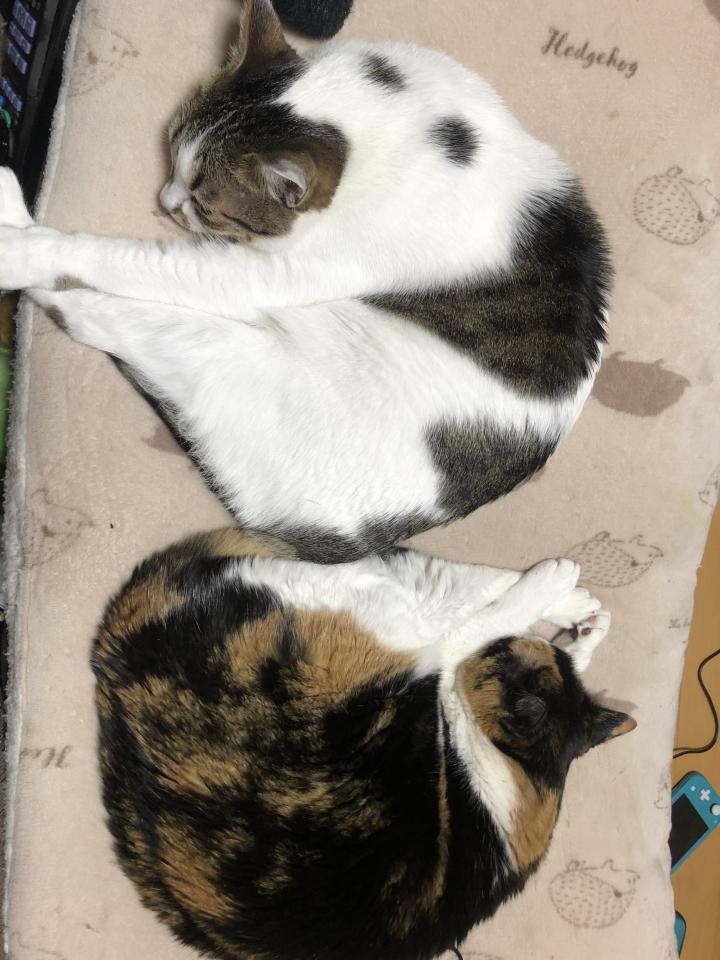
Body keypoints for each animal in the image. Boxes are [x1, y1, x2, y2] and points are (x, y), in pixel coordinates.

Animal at [0, 0, 611, 562]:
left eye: (204, 202)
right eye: (170, 148)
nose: (165, 201)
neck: (379, 123)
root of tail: (340, 540)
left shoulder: (265, 270)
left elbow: (110, 256)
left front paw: (24, 249)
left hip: (228, 352)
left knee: (89, 314)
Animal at [94, 528, 635, 960]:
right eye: (520, 658)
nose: (511, 651)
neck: (514, 774)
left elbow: (475, 617)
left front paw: (575, 609)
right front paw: (582, 612)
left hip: (383, 627)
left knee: (443, 598)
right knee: (447, 587)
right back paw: (564, 588)